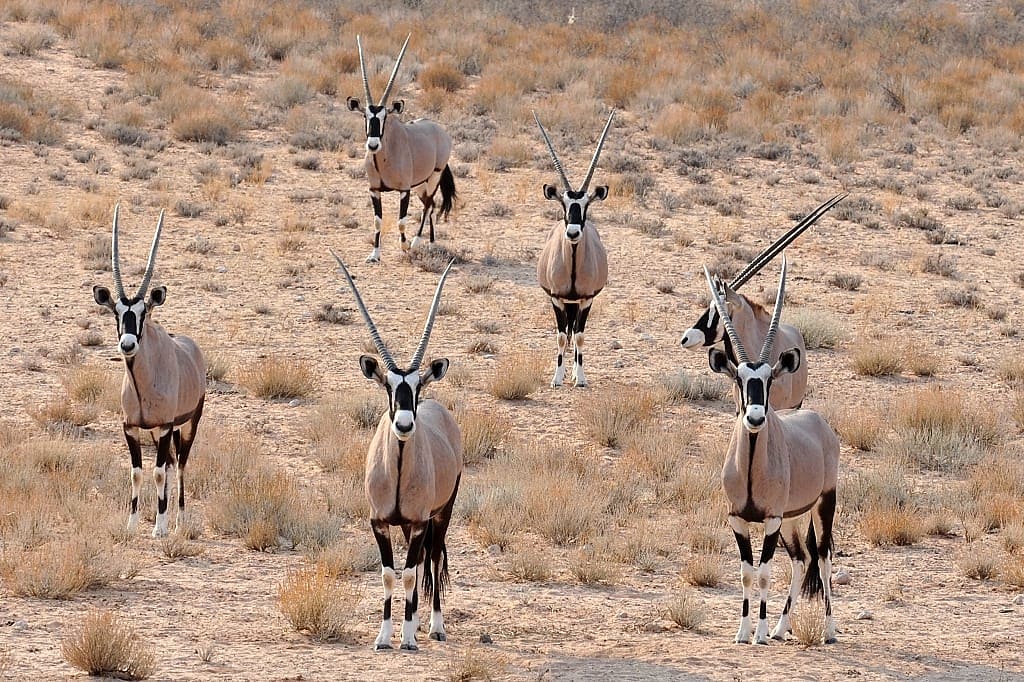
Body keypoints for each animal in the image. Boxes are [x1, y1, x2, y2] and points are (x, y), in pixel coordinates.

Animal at [92, 204, 206, 538]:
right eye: (116, 312)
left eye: (143, 312)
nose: (128, 344)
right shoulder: (131, 428)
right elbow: (137, 473)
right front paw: (131, 525)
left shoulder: (167, 426)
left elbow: (157, 473)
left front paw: (160, 528)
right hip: (157, 433)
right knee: (169, 464)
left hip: (188, 424)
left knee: (179, 465)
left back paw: (179, 520)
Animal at [329, 251, 462, 651]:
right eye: (388, 385)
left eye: (417, 386)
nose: (404, 425)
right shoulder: (380, 522)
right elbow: (391, 574)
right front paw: (385, 636)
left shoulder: (419, 521)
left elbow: (408, 573)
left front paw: (406, 638)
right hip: (409, 525)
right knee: (417, 566)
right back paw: (415, 623)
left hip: (441, 514)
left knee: (431, 561)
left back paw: (433, 627)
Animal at [347, 34, 457, 263]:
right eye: (365, 116)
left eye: (384, 117)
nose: (373, 145)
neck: (384, 158)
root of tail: (440, 131)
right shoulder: (374, 190)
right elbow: (378, 220)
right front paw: (374, 254)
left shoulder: (404, 190)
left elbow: (401, 220)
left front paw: (405, 246)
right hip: (420, 185)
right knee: (431, 206)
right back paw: (431, 243)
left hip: (433, 177)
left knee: (428, 206)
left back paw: (418, 242)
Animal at [535, 109, 614, 388]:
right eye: (563, 204)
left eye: (586, 205)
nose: (572, 233)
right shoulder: (556, 298)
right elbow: (561, 336)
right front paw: (556, 378)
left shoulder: (586, 299)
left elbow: (579, 336)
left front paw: (579, 377)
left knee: (575, 333)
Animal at [704, 257, 840, 645]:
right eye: (739, 379)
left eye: (768, 379)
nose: (755, 417)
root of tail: (819, 423)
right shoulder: (738, 518)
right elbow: (747, 573)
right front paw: (744, 631)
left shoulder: (770, 521)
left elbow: (764, 573)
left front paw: (760, 633)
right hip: (794, 517)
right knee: (801, 559)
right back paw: (783, 627)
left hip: (823, 504)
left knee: (823, 558)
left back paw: (828, 631)